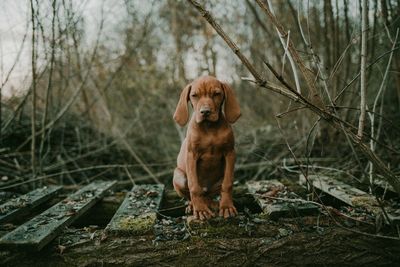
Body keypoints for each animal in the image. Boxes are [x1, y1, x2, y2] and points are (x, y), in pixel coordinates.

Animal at [173, 76, 241, 222]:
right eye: (194, 95)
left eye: (216, 94)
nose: (205, 112)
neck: (209, 128)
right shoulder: (191, 156)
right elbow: (194, 186)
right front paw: (200, 210)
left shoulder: (230, 153)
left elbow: (228, 184)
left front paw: (226, 207)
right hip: (178, 176)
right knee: (192, 194)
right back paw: (193, 206)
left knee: (210, 194)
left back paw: (213, 203)